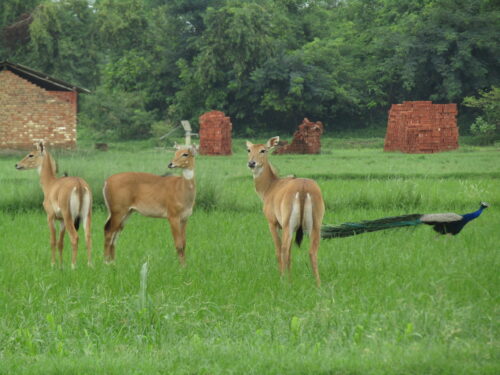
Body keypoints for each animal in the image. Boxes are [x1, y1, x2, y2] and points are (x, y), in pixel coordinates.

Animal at [245, 137, 324, 286]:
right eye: (249, 150)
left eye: (263, 150)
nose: (251, 163)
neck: (269, 188)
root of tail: (303, 189)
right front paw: (290, 276)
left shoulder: (273, 222)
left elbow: (278, 249)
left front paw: (283, 277)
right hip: (316, 223)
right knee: (312, 251)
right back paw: (318, 284)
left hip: (288, 222)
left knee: (284, 249)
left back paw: (284, 282)